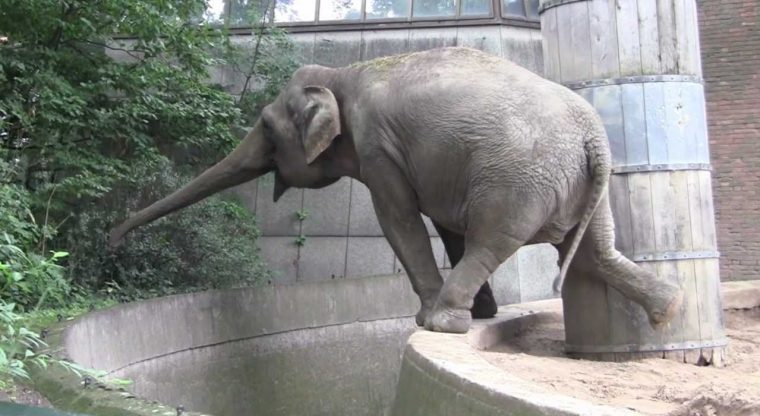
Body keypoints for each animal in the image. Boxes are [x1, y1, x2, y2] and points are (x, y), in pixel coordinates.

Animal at [110, 47, 684, 334]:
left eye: (268, 130)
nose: (111, 236)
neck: (343, 72)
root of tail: (593, 137)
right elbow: (445, 227)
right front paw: (485, 315)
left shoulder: (377, 146)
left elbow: (399, 220)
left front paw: (439, 316)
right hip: (580, 185)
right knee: (596, 251)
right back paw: (668, 310)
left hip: (519, 182)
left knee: (493, 239)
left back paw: (441, 323)